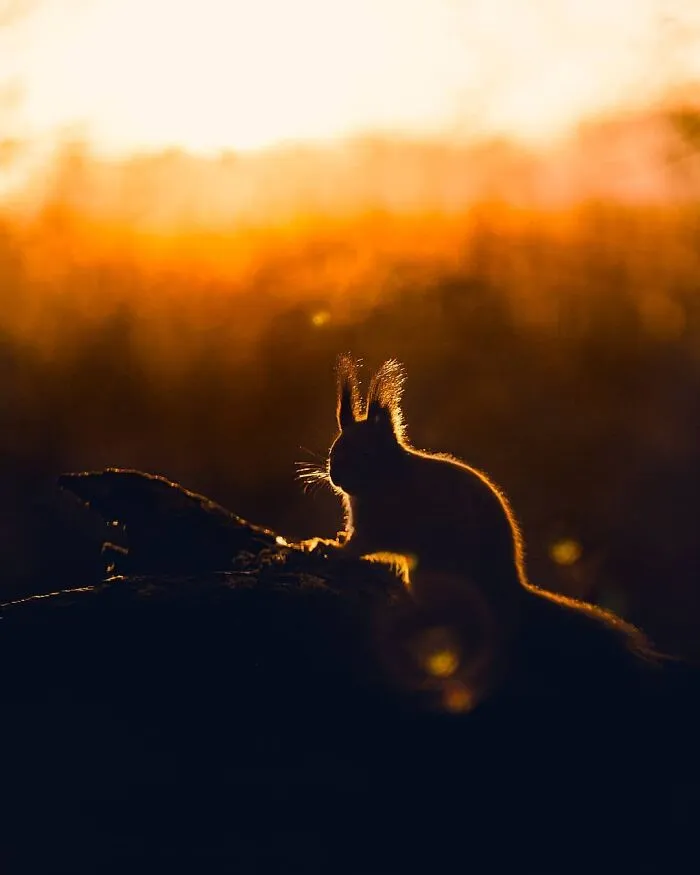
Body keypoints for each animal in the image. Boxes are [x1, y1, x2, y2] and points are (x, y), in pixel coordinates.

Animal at [321, 354, 670, 709]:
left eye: (365, 453)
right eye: (334, 449)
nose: (336, 477)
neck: (387, 475)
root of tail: (510, 589)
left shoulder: (383, 523)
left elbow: (363, 546)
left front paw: (328, 547)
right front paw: (334, 541)